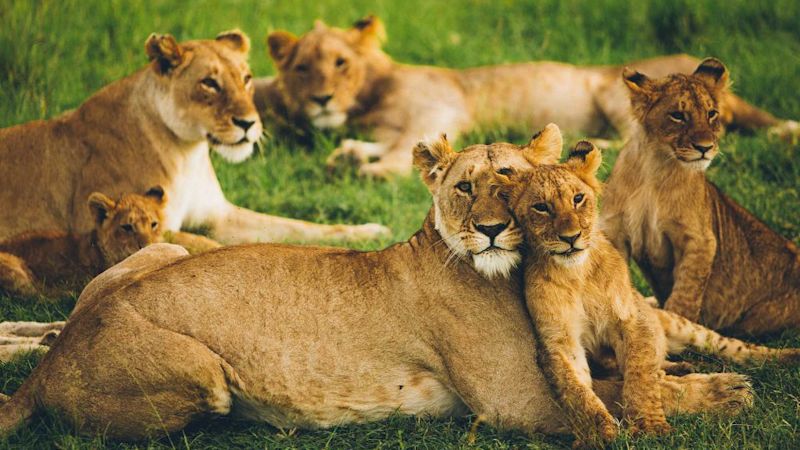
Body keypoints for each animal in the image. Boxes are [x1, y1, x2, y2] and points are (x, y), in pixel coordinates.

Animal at [0, 30, 389, 245]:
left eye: (246, 78)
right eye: (209, 83)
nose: (248, 123)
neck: (187, 153)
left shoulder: (220, 216)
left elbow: (297, 227)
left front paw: (369, 231)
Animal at [0, 131, 754, 442]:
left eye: (511, 180)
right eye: (466, 188)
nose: (489, 229)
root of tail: (49, 366)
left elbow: (632, 371)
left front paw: (687, 370)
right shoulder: (514, 403)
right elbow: (611, 396)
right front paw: (725, 391)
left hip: (157, 247)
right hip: (205, 375)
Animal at [255, 15, 799, 178]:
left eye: (340, 63)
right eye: (302, 68)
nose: (322, 99)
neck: (368, 99)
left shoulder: (439, 109)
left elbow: (402, 153)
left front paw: (368, 169)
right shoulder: (394, 126)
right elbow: (389, 145)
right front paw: (348, 154)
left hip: (613, 90)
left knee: (636, 140)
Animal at [499, 132, 799, 447]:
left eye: (578, 199)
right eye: (541, 207)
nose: (571, 238)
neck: (576, 274)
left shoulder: (632, 320)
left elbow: (640, 375)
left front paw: (649, 426)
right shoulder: (559, 342)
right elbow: (577, 392)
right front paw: (598, 434)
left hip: (681, 325)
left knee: (734, 347)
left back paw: (786, 357)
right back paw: (682, 368)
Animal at [601, 58, 800, 337]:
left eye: (711, 114)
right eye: (678, 115)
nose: (705, 148)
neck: (655, 167)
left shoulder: (700, 239)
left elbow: (685, 294)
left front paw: (677, 328)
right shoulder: (615, 231)